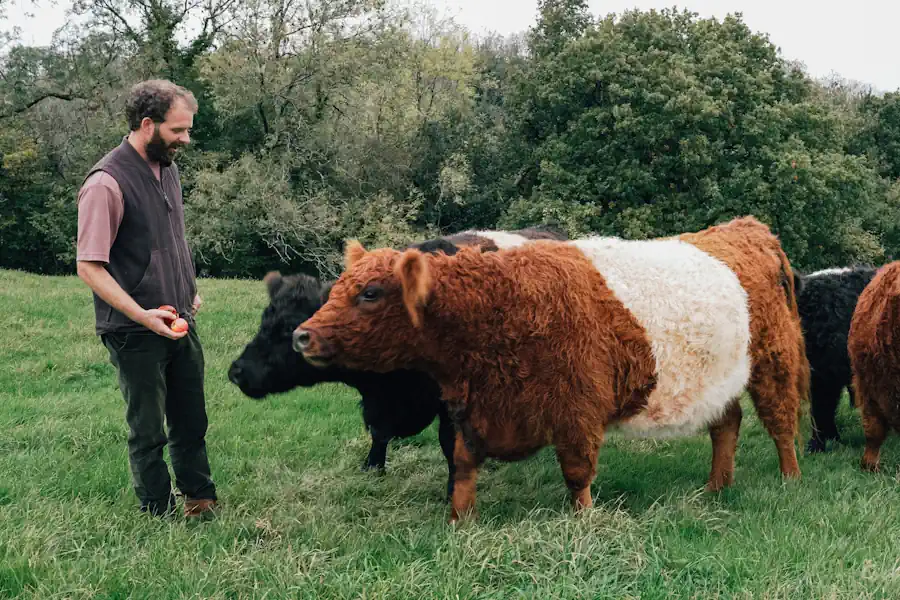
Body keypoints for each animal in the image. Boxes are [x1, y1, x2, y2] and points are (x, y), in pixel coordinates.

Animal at [228, 225, 567, 499]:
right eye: (263, 321)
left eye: (289, 329)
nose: (236, 371)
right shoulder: (378, 403)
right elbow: (378, 433)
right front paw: (372, 468)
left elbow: (447, 443)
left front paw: (452, 489)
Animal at [293, 216, 810, 522]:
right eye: (337, 286)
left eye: (370, 293)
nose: (302, 335)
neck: (500, 304)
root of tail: (744, 229)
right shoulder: (473, 407)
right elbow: (462, 463)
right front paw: (460, 520)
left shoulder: (578, 407)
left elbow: (577, 473)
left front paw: (584, 522)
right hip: (720, 378)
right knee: (727, 423)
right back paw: (717, 486)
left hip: (773, 360)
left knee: (780, 420)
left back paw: (790, 479)